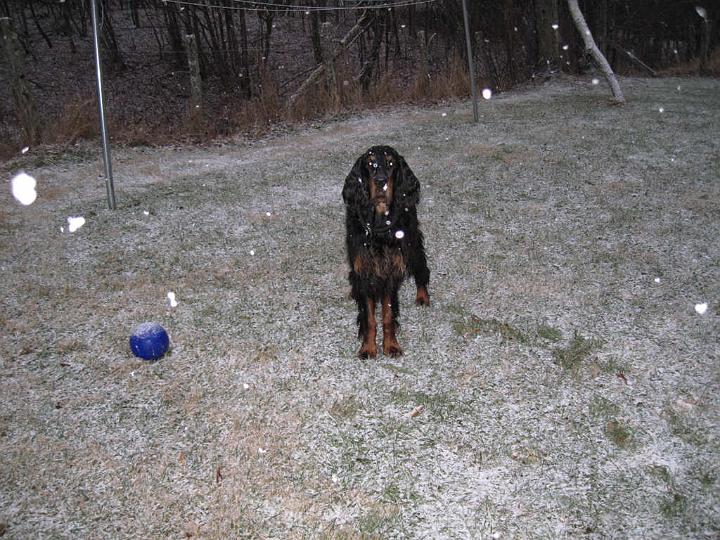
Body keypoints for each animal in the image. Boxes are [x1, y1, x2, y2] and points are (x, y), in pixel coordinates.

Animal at [342, 147, 428, 358]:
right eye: (369, 163)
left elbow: (388, 315)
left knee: (421, 268)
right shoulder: (364, 271)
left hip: (412, 243)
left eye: (391, 163)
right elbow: (369, 318)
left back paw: (423, 296)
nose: (380, 181)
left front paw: (391, 345)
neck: (380, 223)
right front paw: (368, 348)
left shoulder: (389, 270)